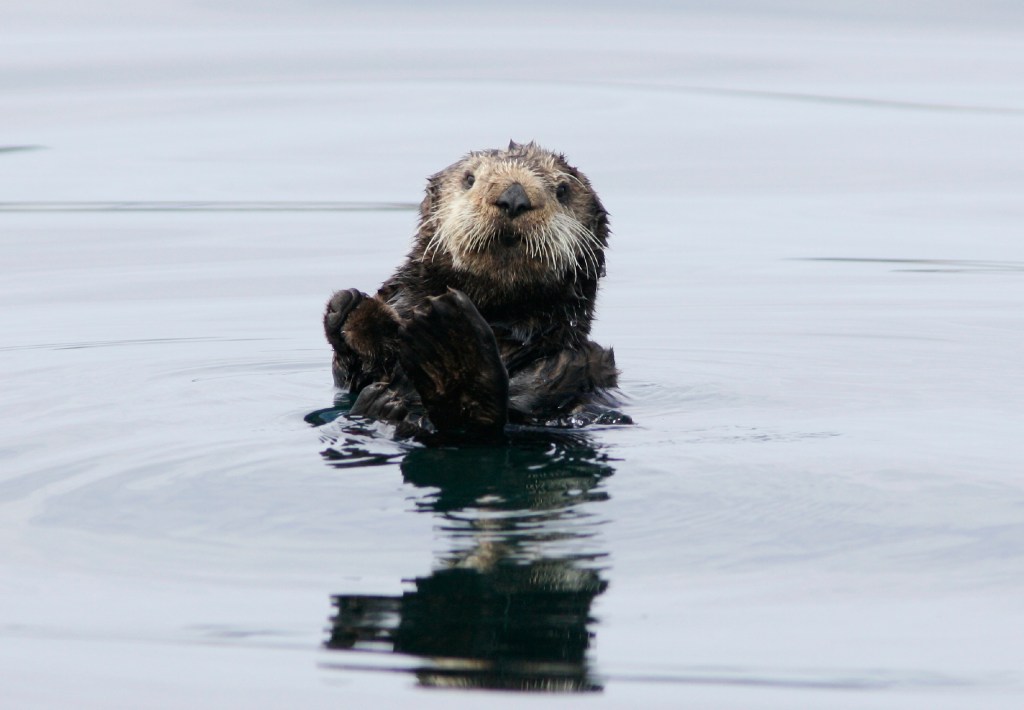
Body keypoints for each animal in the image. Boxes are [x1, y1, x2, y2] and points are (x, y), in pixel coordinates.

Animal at [323, 141, 628, 444]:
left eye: (562, 190)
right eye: (469, 179)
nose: (514, 197)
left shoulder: (574, 364)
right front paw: (347, 310)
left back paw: (450, 344)